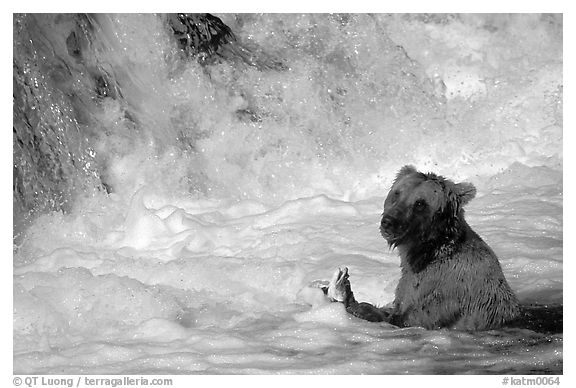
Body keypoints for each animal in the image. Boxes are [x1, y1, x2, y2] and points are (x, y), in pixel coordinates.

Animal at [326, 164, 520, 330]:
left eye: (420, 203)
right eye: (397, 193)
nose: (388, 222)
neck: (427, 252)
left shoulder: (444, 292)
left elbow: (402, 319)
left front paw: (350, 298)